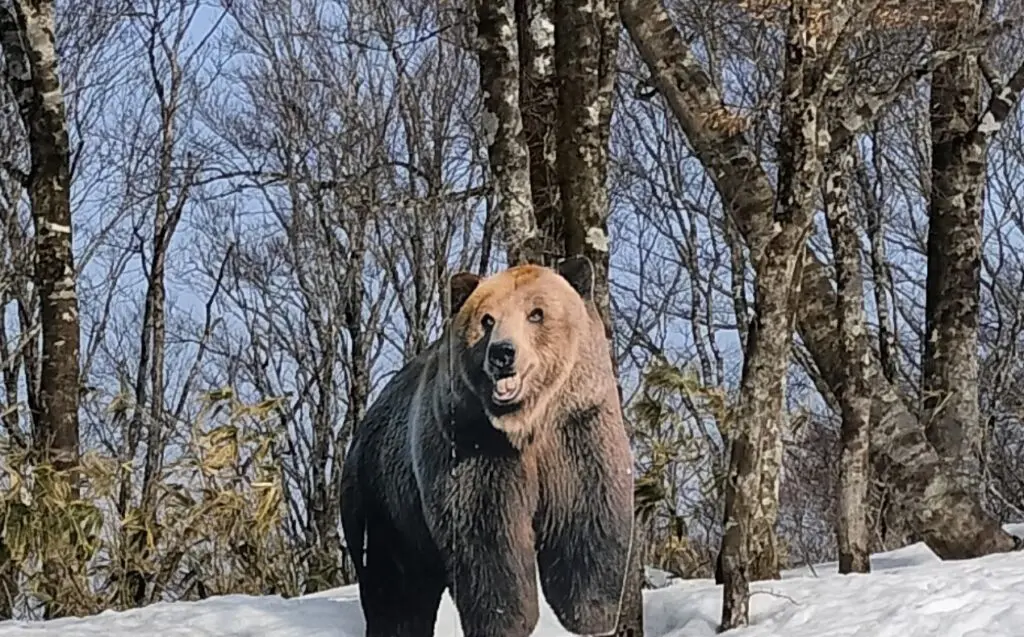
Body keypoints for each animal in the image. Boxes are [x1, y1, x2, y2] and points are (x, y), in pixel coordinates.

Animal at [339, 256, 635, 637]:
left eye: (536, 313)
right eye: (487, 319)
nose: (503, 353)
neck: (527, 423)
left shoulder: (579, 430)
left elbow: (588, 519)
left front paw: (590, 614)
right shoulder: (473, 445)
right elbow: (488, 538)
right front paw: (507, 621)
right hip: (384, 497)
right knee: (394, 585)